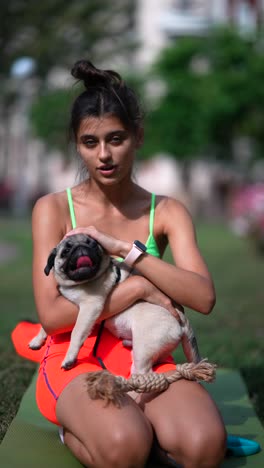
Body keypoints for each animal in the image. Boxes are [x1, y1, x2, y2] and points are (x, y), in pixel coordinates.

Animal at [28, 234, 201, 372]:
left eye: (93, 245)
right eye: (65, 251)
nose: (81, 248)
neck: (77, 283)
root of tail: (182, 320)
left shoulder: (89, 307)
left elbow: (76, 333)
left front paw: (70, 358)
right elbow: (46, 326)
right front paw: (37, 340)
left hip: (144, 348)